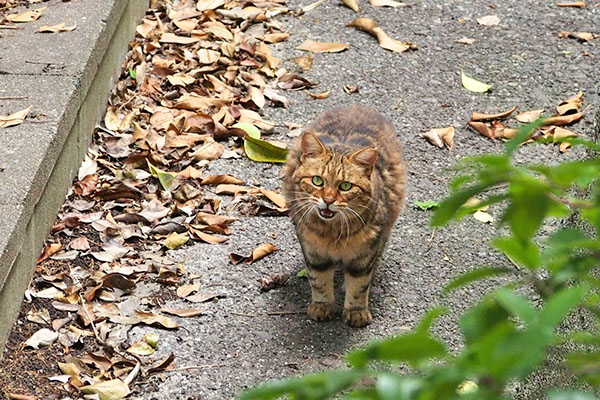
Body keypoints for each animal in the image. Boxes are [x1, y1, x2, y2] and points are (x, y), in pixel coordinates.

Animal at [282, 104, 406, 326]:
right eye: (317, 181)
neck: (332, 233)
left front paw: (356, 311)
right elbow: (319, 280)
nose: (328, 200)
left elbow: (359, 284)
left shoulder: (365, 254)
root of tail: (357, 106)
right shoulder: (313, 250)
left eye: (346, 186)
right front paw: (322, 306)